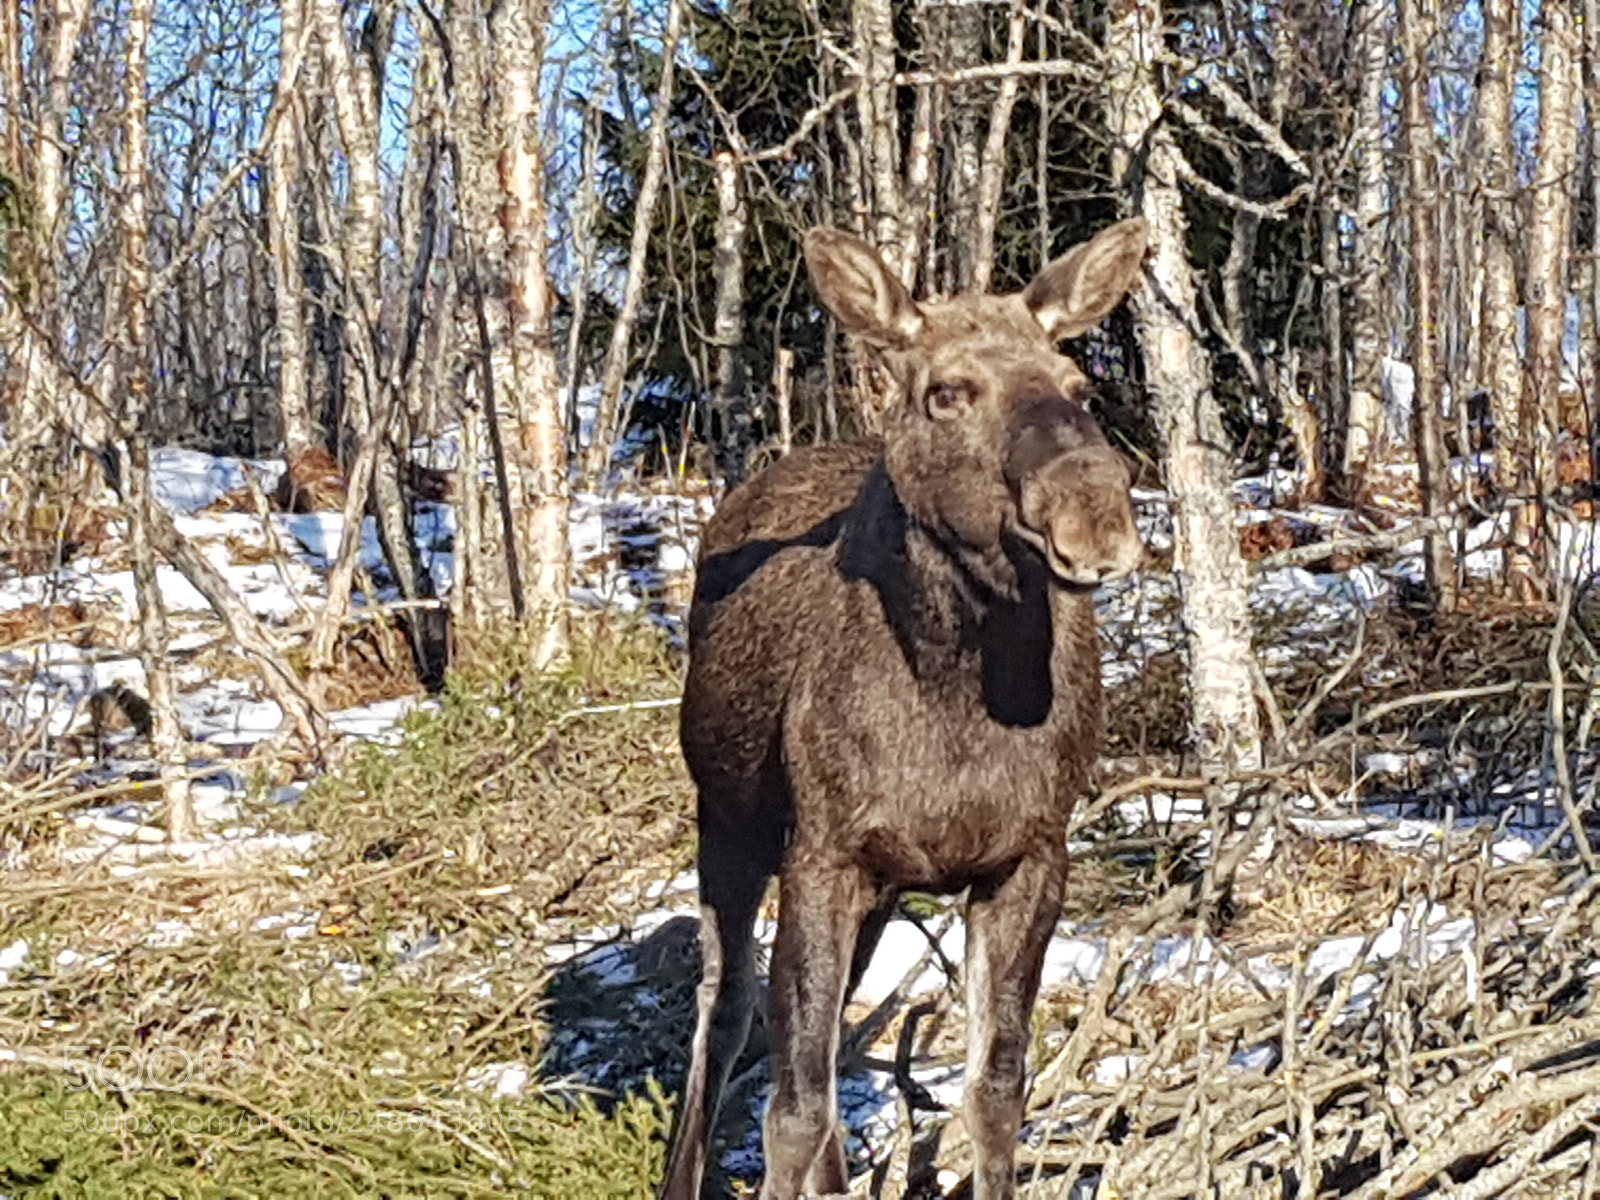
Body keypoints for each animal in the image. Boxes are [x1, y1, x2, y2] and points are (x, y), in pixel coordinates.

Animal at [659, 217, 1150, 1200]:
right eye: (947, 391)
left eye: (1077, 383)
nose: (1094, 515)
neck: (958, 701)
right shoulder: (822, 852)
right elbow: (791, 1110)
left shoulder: (1028, 857)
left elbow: (996, 1092)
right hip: (728, 819)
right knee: (724, 1010)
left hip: (877, 885)